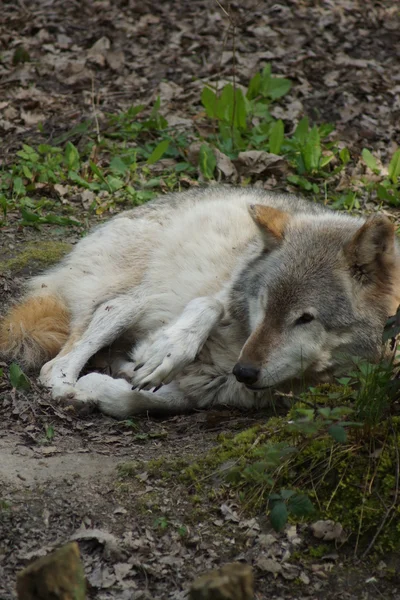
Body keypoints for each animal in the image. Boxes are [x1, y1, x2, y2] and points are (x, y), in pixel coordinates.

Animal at [0, 188, 400, 418]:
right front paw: (164, 350)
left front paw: (108, 385)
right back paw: (73, 388)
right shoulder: (224, 293)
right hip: (133, 298)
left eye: (305, 318)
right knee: (58, 362)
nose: (245, 371)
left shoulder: (221, 389)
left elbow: (140, 400)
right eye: (263, 303)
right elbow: (208, 305)